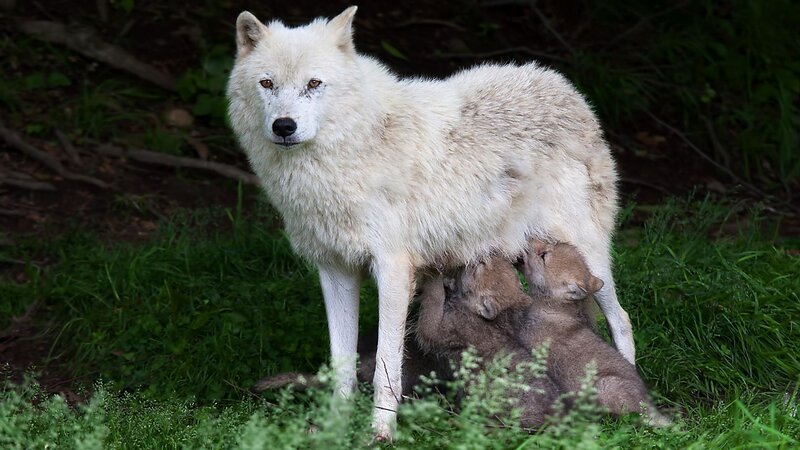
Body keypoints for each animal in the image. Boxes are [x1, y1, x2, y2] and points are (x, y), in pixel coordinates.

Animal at [227, 6, 629, 438]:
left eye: (313, 83)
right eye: (267, 83)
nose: (284, 126)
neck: (353, 148)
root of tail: (563, 86)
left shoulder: (392, 270)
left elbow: (386, 365)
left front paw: (380, 433)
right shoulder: (335, 270)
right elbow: (341, 366)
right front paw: (335, 427)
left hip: (589, 258)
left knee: (621, 319)